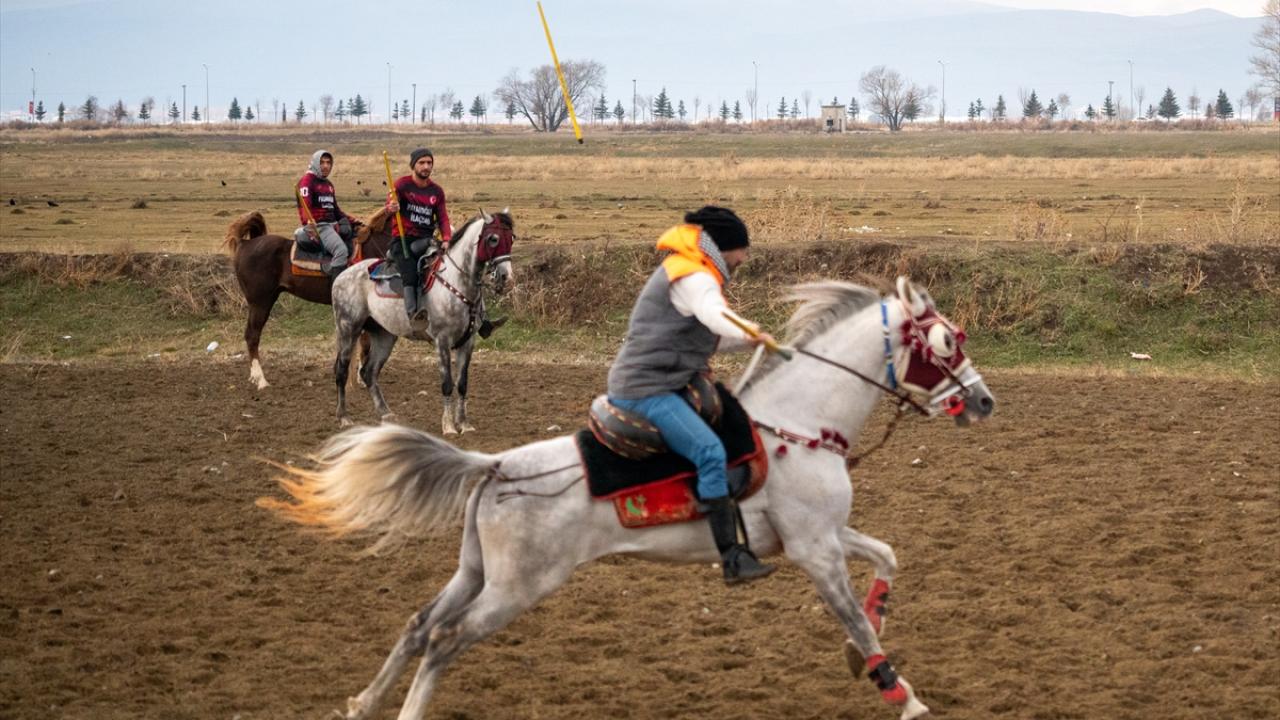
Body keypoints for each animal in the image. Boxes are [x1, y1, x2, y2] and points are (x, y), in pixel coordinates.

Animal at [223, 208, 396, 390]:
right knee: (252, 335)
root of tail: (245, 243)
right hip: (260, 302)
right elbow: (365, 342)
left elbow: (365, 342)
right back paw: (261, 379)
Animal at [262, 276, 995, 720]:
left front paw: (863, 655)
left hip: (475, 572)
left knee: (419, 625)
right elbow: (855, 618)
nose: (985, 400)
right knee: (444, 639)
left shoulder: (818, 537)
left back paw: (364, 702)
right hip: (516, 588)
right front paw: (899, 691)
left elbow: (887, 560)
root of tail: (496, 466)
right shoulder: (814, 551)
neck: (798, 423)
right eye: (944, 341)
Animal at [330, 209, 515, 434]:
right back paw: (343, 417)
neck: (456, 281)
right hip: (348, 328)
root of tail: (342, 275)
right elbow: (447, 383)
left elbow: (462, 384)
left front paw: (464, 424)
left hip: (384, 335)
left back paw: (386, 414)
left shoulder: (468, 341)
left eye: (511, 238)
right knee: (341, 371)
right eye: (493, 239)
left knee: (369, 372)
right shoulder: (442, 340)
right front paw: (449, 426)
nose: (506, 278)